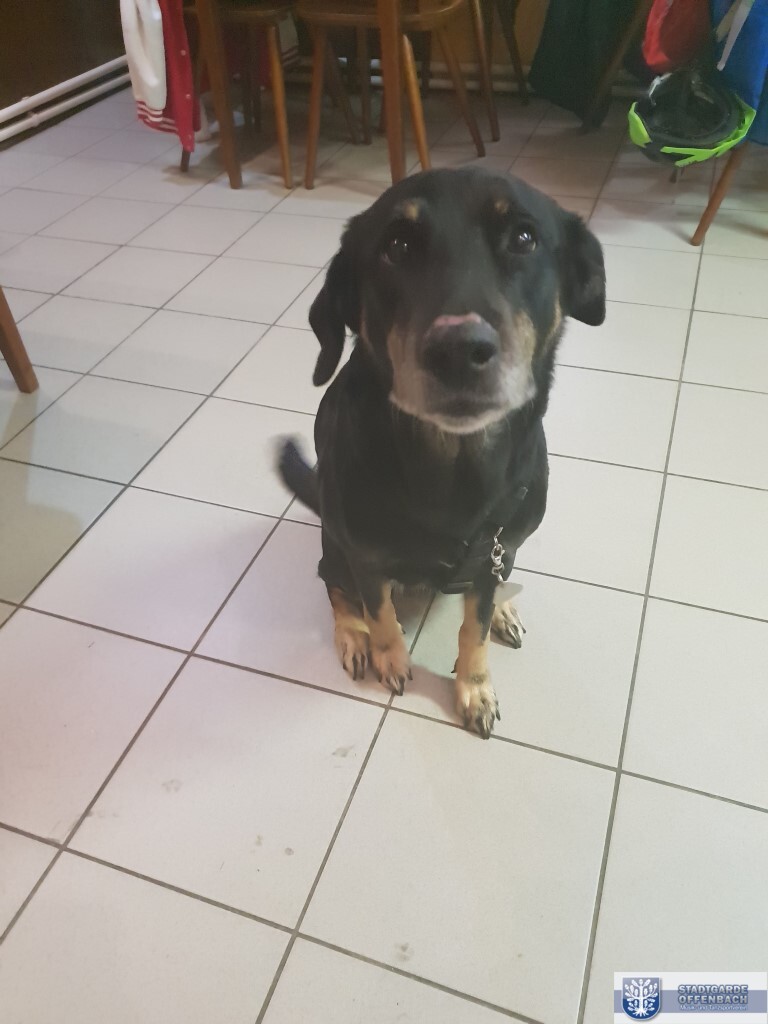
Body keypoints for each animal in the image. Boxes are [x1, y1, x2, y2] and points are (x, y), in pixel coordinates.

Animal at [278, 167, 605, 738]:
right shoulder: (365, 557)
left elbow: (474, 626)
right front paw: (388, 656)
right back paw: (352, 636)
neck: (455, 465)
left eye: (524, 238)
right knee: (334, 585)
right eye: (397, 246)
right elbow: (380, 612)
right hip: (333, 543)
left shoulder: (495, 549)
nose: (458, 350)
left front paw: (474, 687)